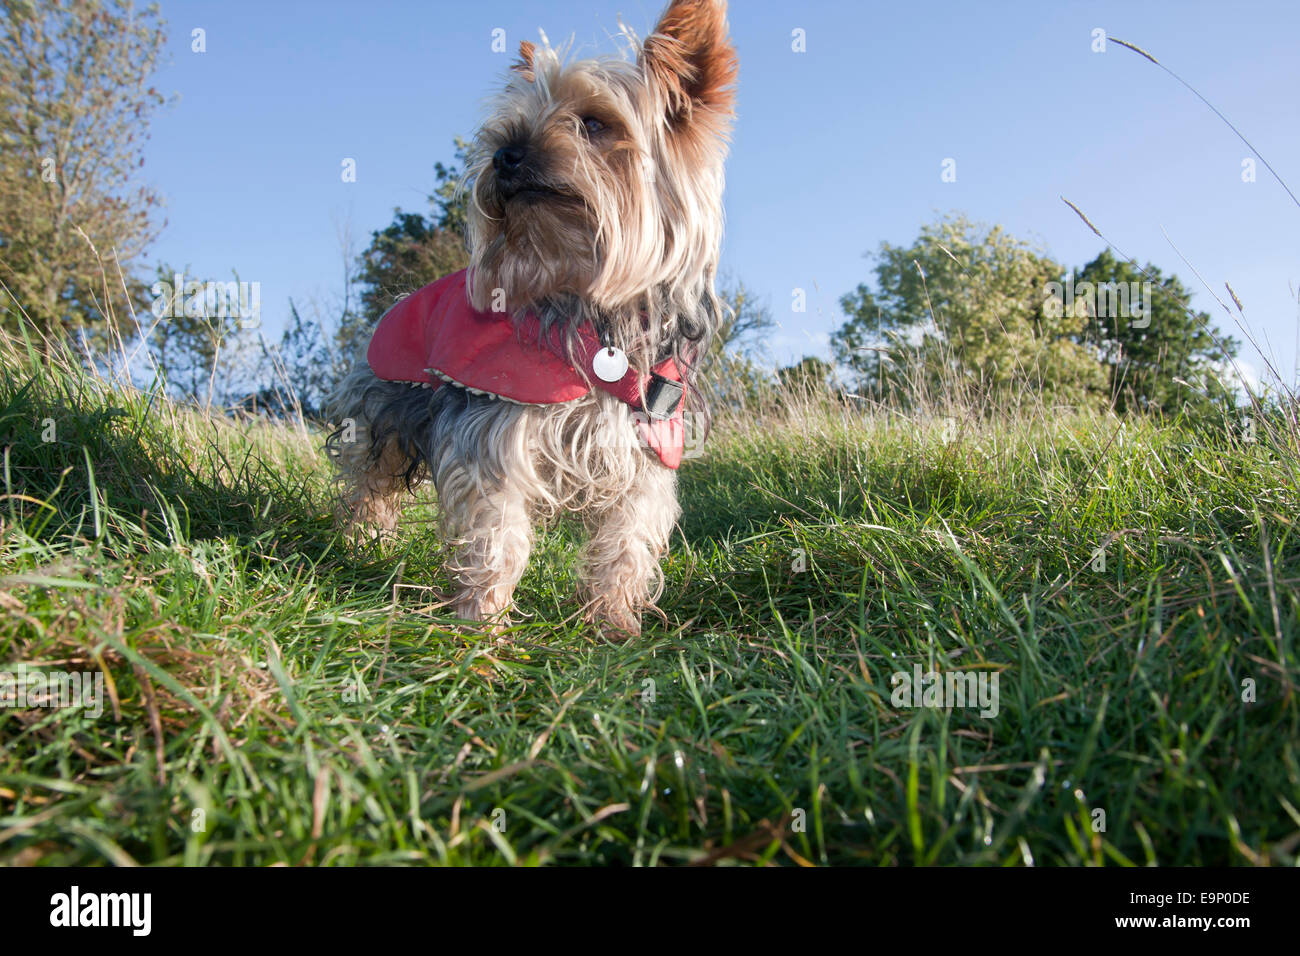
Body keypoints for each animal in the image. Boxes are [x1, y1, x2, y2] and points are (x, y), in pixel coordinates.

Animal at [323, 1, 738, 642]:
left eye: (594, 123)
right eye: (507, 127)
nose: (504, 155)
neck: (591, 308)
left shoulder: (647, 448)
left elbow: (625, 542)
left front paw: (614, 625)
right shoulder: (494, 434)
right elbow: (497, 533)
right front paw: (482, 626)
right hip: (380, 405)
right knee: (370, 480)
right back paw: (360, 543)